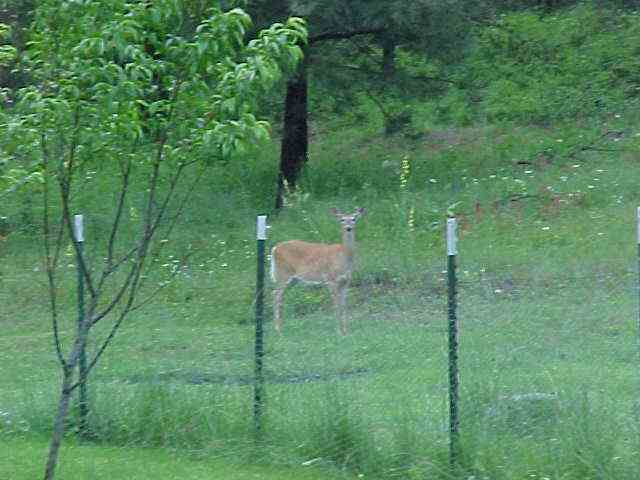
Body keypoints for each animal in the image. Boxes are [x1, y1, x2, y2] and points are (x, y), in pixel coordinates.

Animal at [270, 208, 365, 336]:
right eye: (342, 219)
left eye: (354, 218)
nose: (348, 228)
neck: (344, 257)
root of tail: (274, 249)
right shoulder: (330, 279)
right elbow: (336, 305)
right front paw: (339, 331)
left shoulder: (346, 281)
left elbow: (344, 305)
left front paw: (345, 331)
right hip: (282, 274)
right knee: (276, 294)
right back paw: (278, 329)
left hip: (293, 279)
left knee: (278, 294)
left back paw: (280, 327)